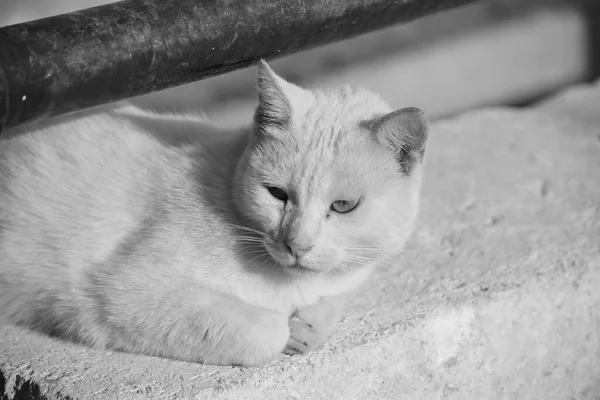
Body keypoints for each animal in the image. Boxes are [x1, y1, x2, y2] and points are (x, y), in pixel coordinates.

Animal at [1, 60, 432, 366]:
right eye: (277, 194)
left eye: (343, 206)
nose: (296, 244)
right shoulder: (114, 292)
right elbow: (267, 333)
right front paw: (287, 330)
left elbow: (333, 301)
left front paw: (311, 324)